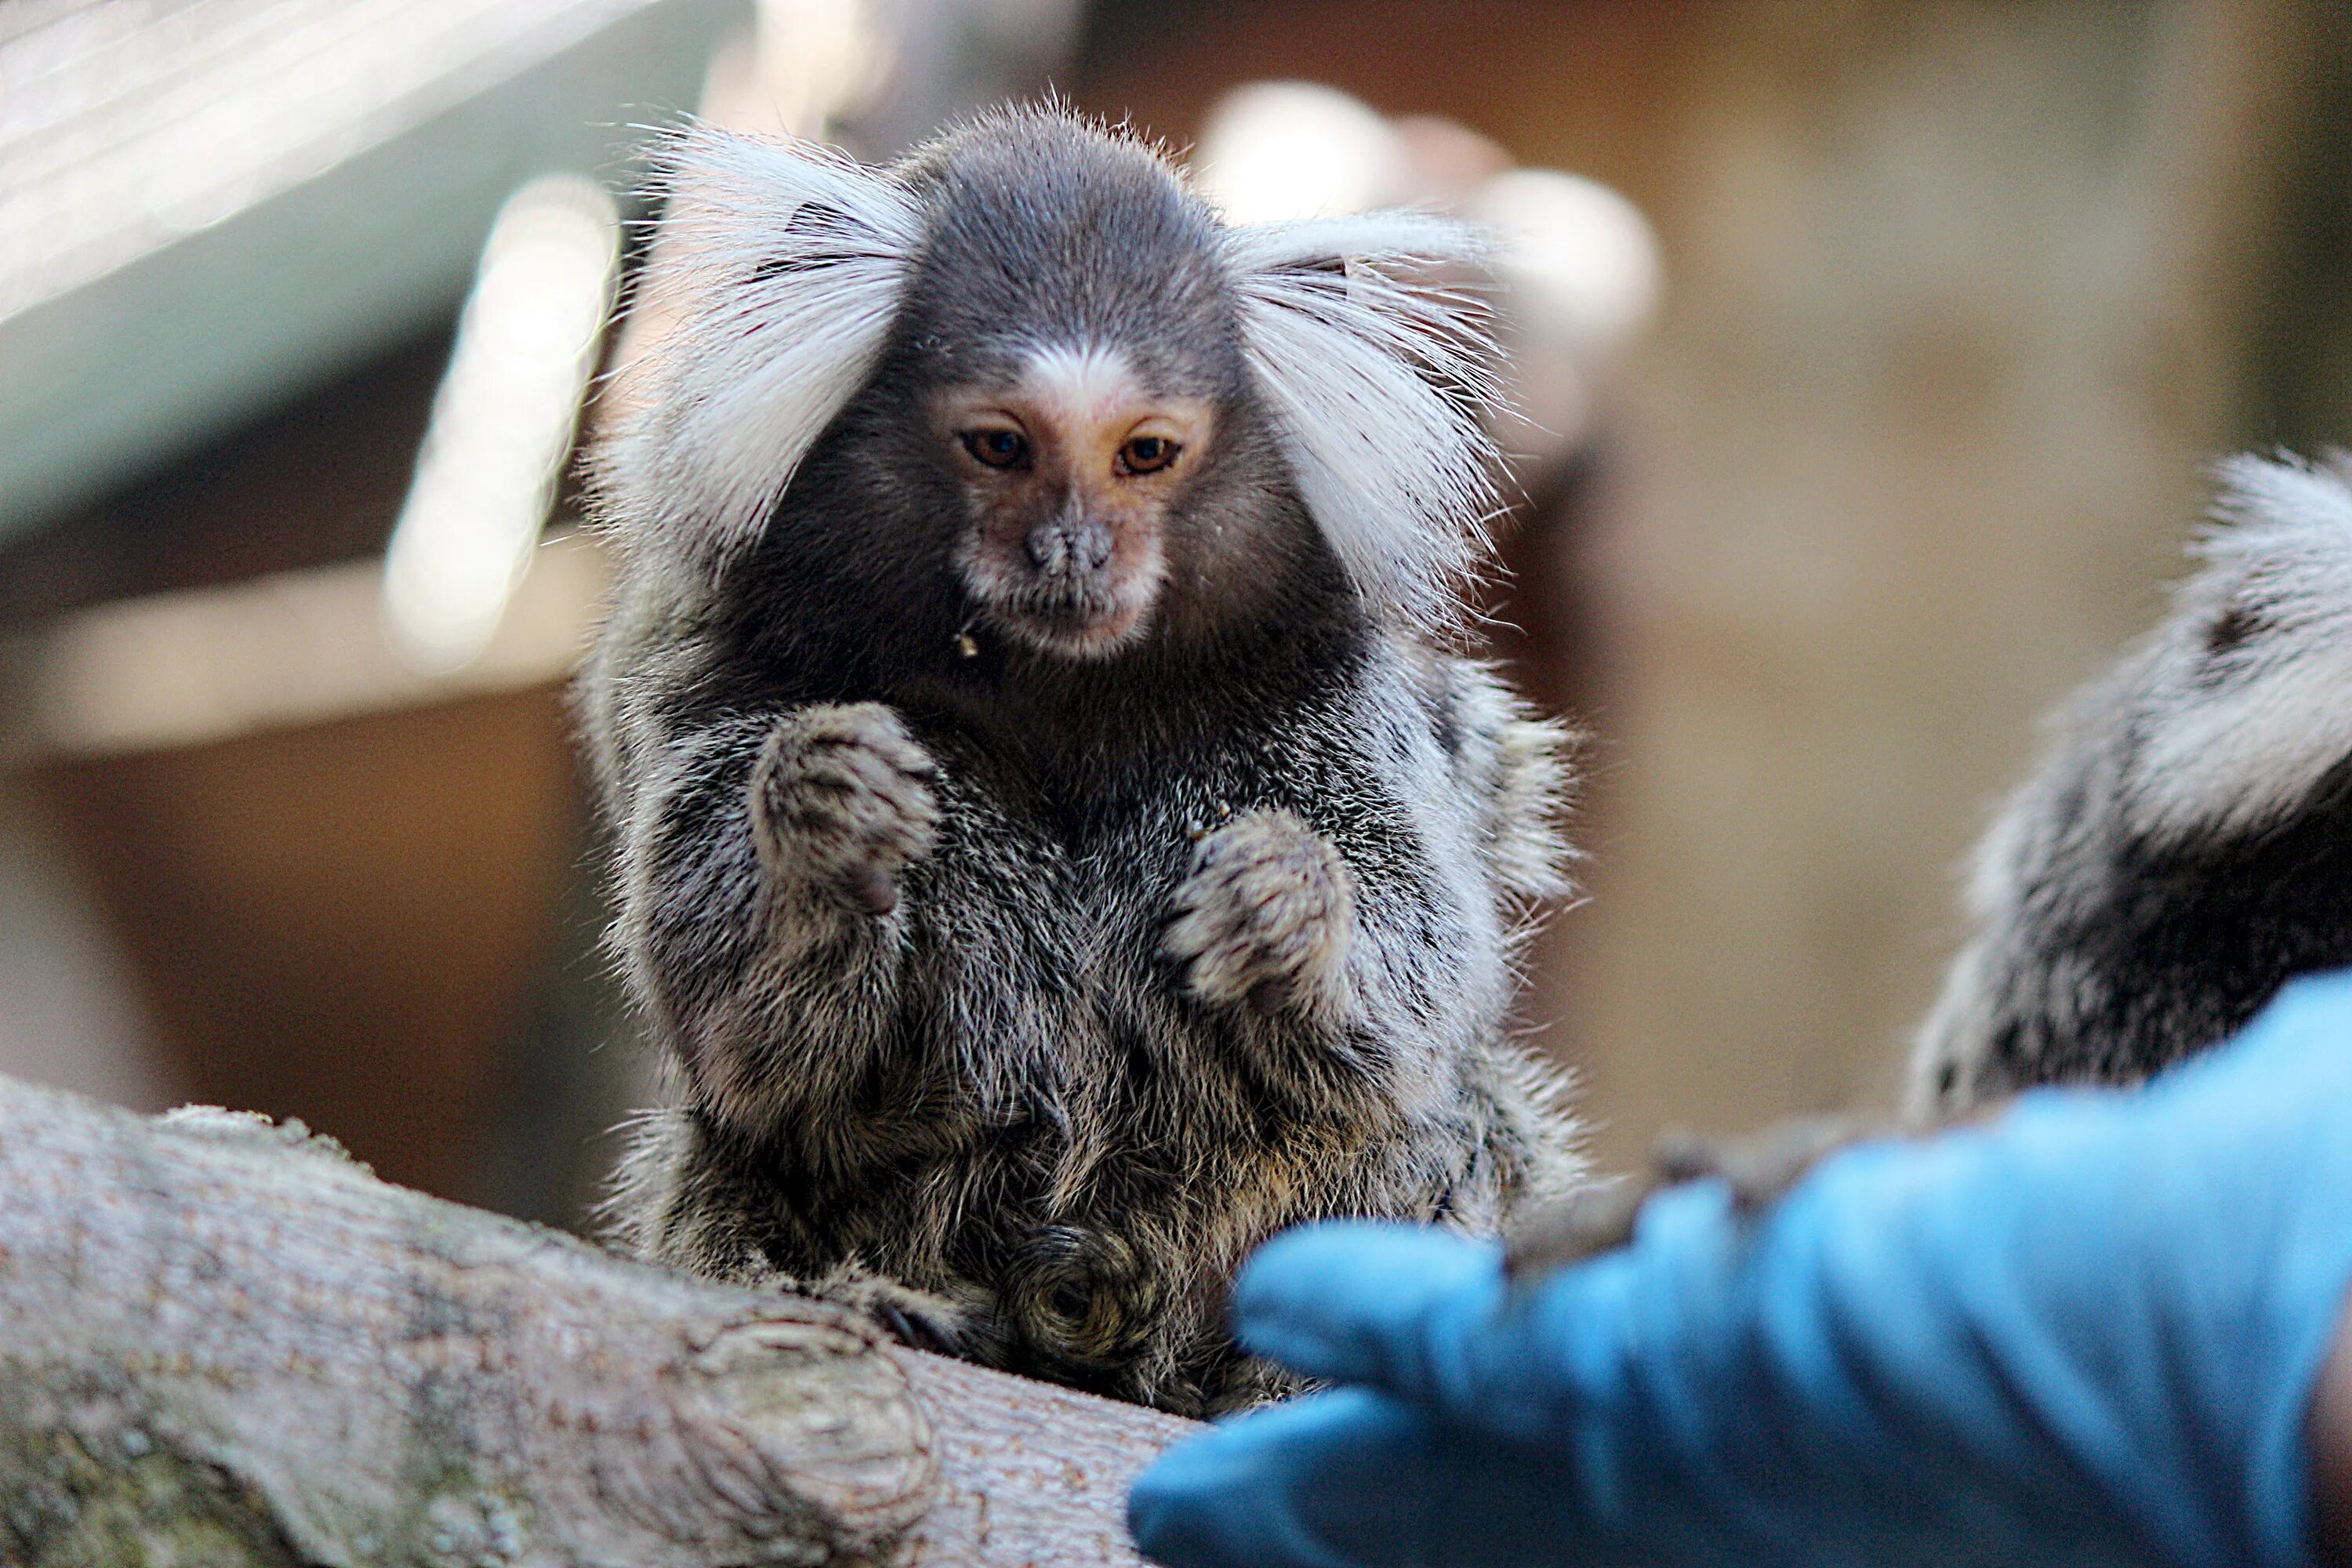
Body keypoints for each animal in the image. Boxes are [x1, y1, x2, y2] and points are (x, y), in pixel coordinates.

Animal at [581, 103, 1590, 1420]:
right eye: (1001, 446)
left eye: (1145, 453)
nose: (1071, 552)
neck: (1061, 696)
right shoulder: (715, 676)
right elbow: (748, 1034)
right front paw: (821, 827)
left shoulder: (1345, 711)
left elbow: (1411, 992)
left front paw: (1284, 910)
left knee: (1445, 1123)